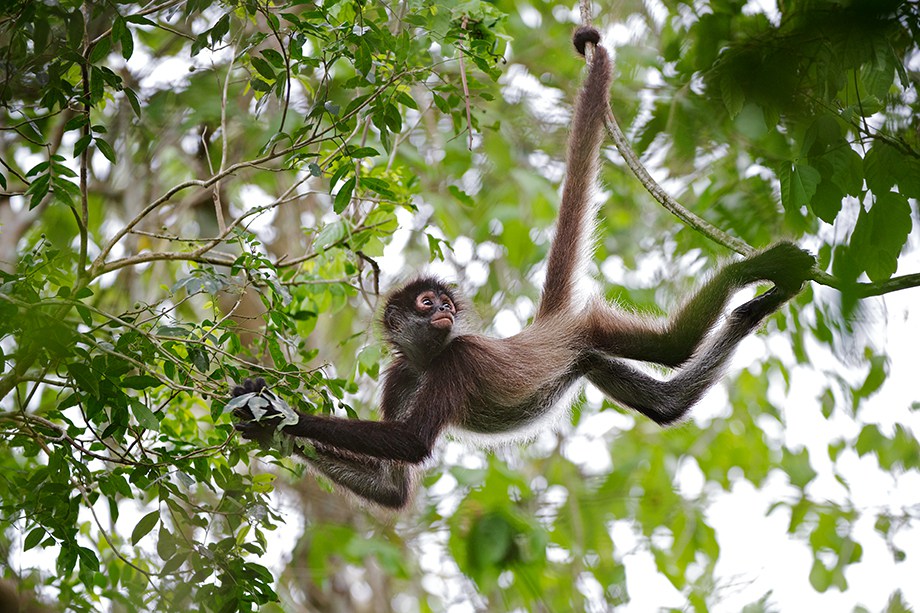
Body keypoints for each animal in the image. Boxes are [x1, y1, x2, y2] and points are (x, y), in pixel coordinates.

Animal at [228, 27, 814, 509]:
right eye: (427, 303)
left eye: (445, 304)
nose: (442, 310)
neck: (427, 359)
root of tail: (548, 326)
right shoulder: (399, 377)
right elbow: (392, 488)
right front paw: (265, 432)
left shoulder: (458, 357)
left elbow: (411, 443)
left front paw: (274, 410)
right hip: (582, 355)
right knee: (667, 402)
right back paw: (750, 311)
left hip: (590, 327)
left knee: (674, 346)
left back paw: (756, 272)